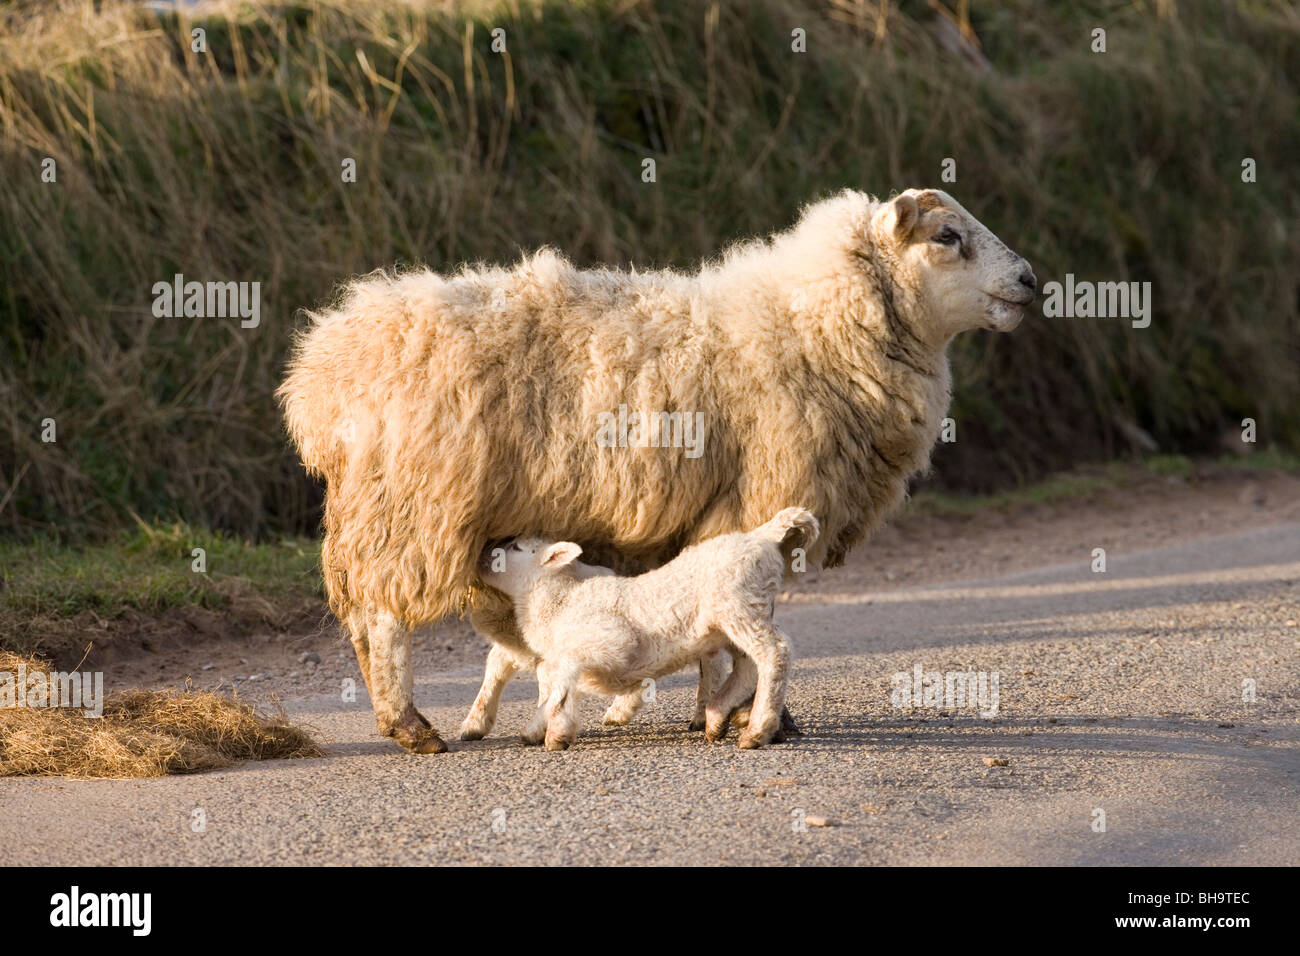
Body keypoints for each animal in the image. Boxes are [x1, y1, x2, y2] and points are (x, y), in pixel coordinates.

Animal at [478, 504, 821, 749]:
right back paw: (717, 714)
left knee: (774, 653)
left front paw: (555, 732)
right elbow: (556, 686)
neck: (560, 599)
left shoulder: (611, 643)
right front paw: (538, 728)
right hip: (731, 619)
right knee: (749, 664)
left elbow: (562, 677)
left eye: (516, 547)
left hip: (739, 604)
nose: (481, 555)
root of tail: (761, 536)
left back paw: (757, 730)